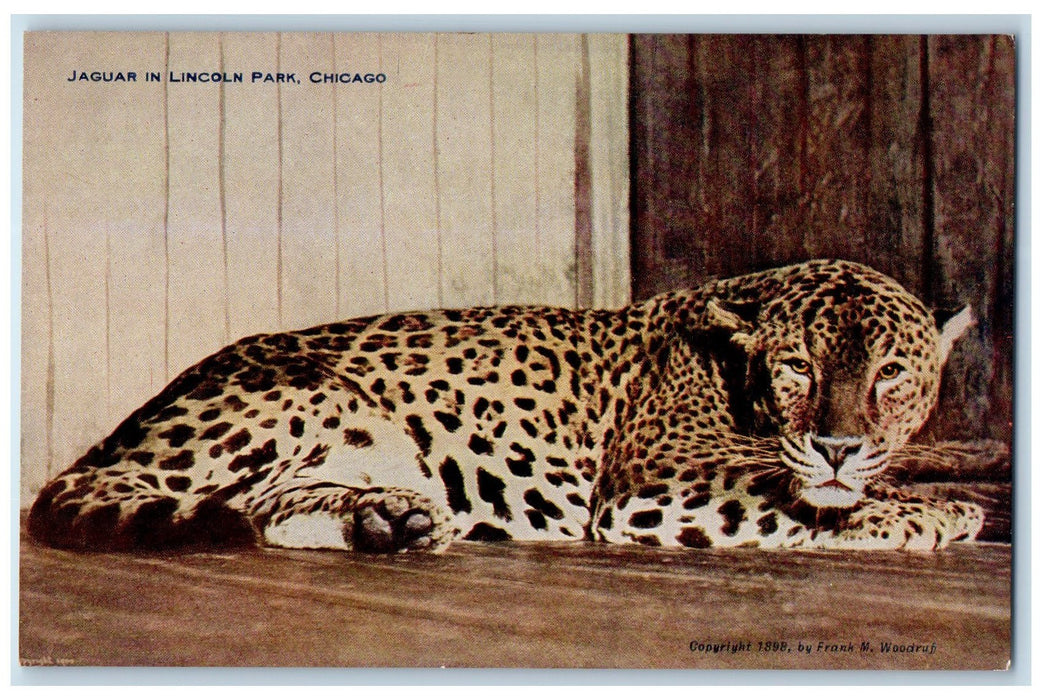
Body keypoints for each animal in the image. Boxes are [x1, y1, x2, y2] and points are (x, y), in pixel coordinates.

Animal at [27, 259, 985, 553]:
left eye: (891, 373)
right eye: (795, 367)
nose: (837, 444)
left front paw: (934, 496)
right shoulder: (653, 488)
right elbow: (790, 498)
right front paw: (925, 514)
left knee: (268, 507)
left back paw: (391, 520)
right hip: (301, 387)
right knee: (135, 497)